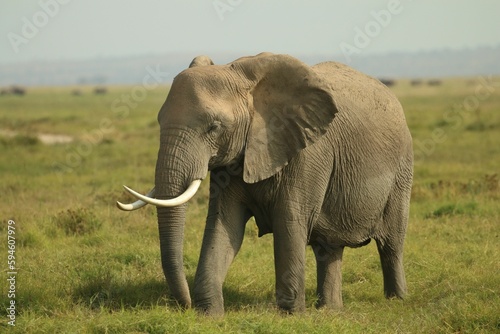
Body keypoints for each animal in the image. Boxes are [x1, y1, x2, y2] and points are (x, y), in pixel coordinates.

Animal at [118, 52, 414, 316]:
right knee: (328, 247)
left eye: (214, 127)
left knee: (392, 243)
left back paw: (396, 301)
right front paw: (210, 314)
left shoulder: (308, 152)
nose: (184, 305)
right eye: (159, 121)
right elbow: (225, 224)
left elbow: (289, 221)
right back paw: (330, 311)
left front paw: (291, 316)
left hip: (402, 169)